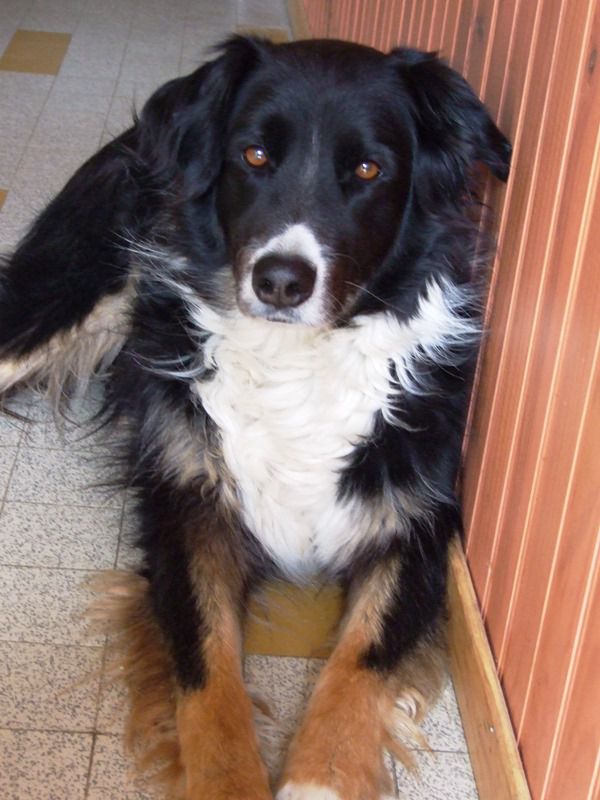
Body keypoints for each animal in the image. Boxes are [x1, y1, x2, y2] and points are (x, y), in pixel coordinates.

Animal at [0, 36, 510, 800]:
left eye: (368, 169)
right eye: (255, 155)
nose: (280, 282)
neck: (295, 359)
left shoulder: (416, 527)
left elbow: (357, 668)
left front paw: (315, 781)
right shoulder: (188, 510)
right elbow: (208, 676)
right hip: (60, 293)